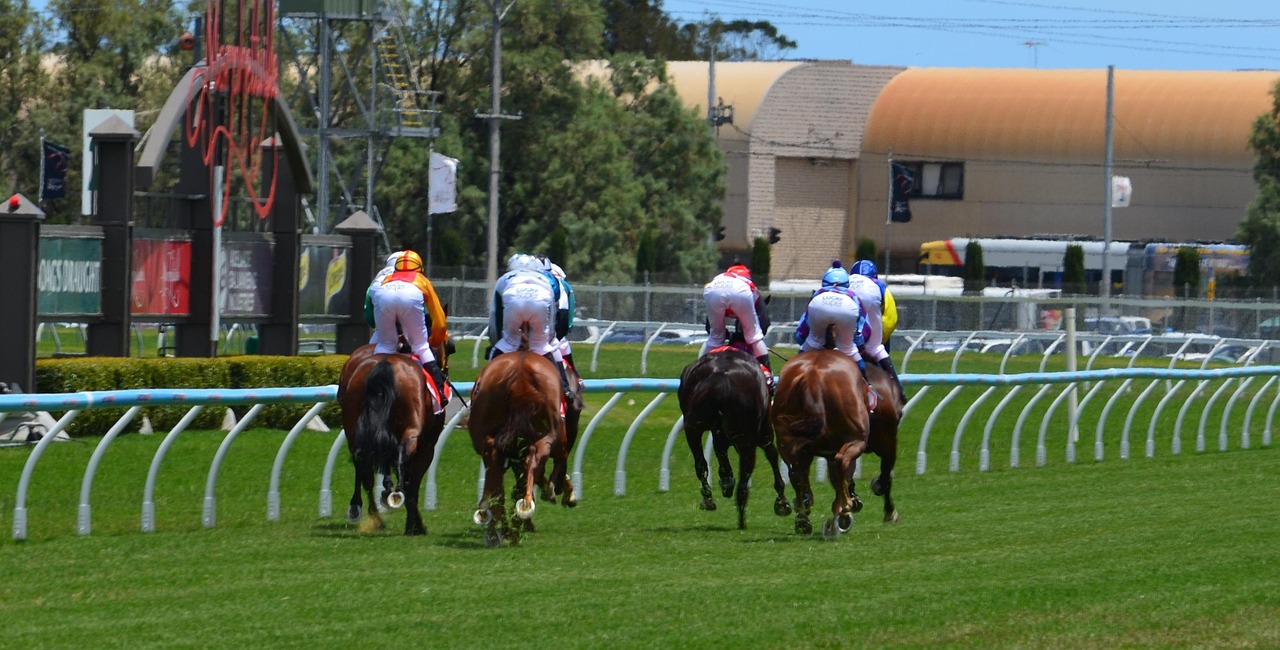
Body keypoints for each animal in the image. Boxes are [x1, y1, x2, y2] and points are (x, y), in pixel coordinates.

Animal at [337, 342, 448, 534]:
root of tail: (384, 365)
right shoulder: (427, 448)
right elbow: (412, 482)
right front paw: (415, 525)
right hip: (412, 429)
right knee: (400, 459)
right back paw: (393, 497)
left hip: (352, 427)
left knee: (364, 467)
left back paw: (368, 511)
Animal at [471, 353, 570, 545]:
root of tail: (520, 373)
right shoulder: (557, 443)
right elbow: (546, 470)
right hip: (548, 437)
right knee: (532, 461)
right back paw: (522, 513)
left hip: (486, 441)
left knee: (497, 481)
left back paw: (497, 530)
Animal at [680, 345, 788, 527]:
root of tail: (720, 376)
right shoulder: (763, 431)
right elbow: (772, 454)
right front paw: (781, 502)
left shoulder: (718, 432)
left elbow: (720, 454)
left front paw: (726, 480)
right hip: (747, 437)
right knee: (745, 473)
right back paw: (742, 515)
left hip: (693, 427)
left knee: (700, 464)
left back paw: (709, 498)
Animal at [768, 350, 870, 537]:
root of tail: (812, 376)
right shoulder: (846, 445)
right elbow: (841, 475)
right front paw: (843, 510)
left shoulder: (808, 449)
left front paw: (806, 502)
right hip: (855, 440)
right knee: (841, 462)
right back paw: (844, 510)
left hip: (786, 441)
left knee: (795, 473)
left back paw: (802, 520)